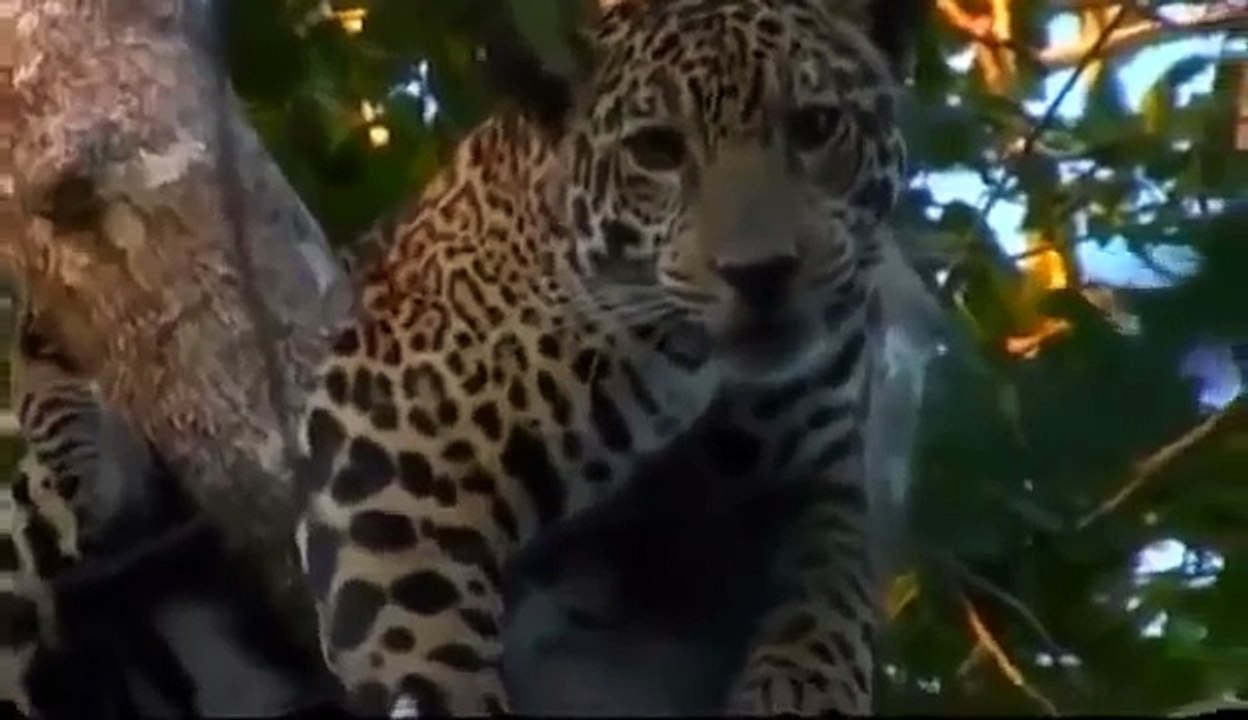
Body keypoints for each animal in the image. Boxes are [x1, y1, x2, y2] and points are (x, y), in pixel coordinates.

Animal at [293, 0, 926, 715]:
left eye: (816, 127)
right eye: (657, 149)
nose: (761, 274)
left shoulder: (820, 475)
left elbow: (830, 602)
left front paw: (802, 693)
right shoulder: (399, 428)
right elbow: (417, 627)